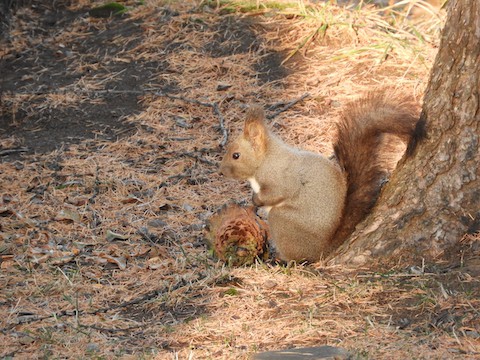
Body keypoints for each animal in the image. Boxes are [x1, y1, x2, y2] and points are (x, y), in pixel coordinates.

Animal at [219, 91, 422, 262]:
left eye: (236, 155)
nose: (221, 171)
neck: (265, 159)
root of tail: (324, 249)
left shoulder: (279, 178)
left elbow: (276, 193)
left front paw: (256, 200)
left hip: (283, 222)